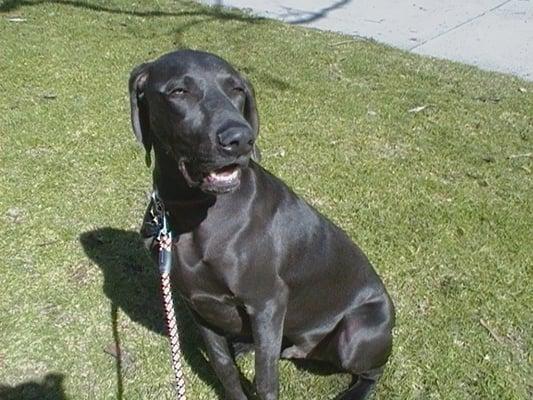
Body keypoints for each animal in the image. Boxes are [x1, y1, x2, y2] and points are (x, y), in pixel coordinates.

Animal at [129, 50, 392, 400]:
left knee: (371, 371)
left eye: (237, 89)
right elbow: (223, 366)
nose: (240, 139)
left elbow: (266, 382)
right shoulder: (197, 302)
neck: (190, 209)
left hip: (356, 332)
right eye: (179, 92)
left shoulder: (268, 301)